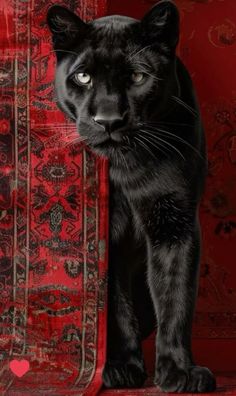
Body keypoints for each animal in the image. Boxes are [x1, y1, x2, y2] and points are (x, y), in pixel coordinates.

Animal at [46, 0, 216, 392]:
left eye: (138, 77)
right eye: (83, 77)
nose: (108, 120)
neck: (126, 167)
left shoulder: (175, 221)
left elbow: (175, 297)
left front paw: (179, 372)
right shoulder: (106, 234)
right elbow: (115, 304)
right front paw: (121, 367)